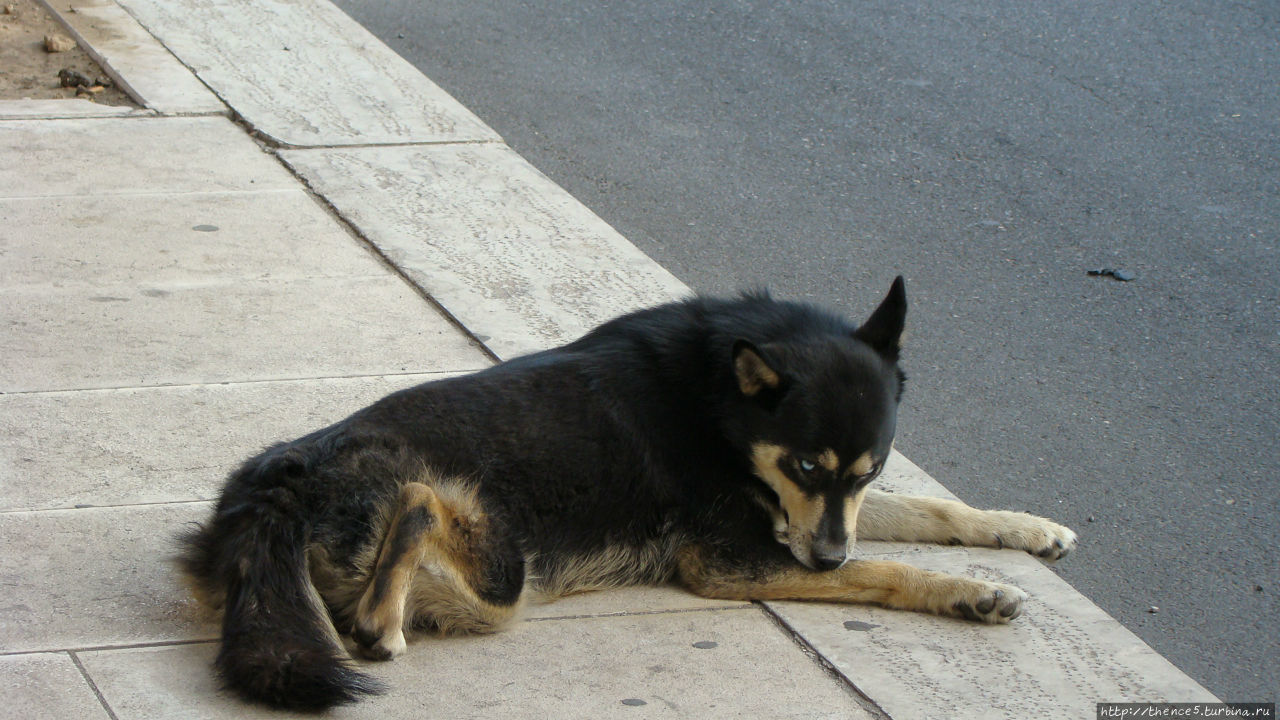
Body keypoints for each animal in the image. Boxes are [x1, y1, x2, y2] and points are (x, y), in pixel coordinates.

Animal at [180, 278, 1075, 707]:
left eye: (871, 468)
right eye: (804, 466)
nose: (823, 561)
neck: (720, 398)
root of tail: (278, 479)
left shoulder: (813, 521)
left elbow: (931, 510)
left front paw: (1027, 529)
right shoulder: (734, 560)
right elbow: (885, 570)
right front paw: (970, 593)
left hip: (477, 588)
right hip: (502, 572)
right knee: (420, 512)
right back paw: (383, 611)